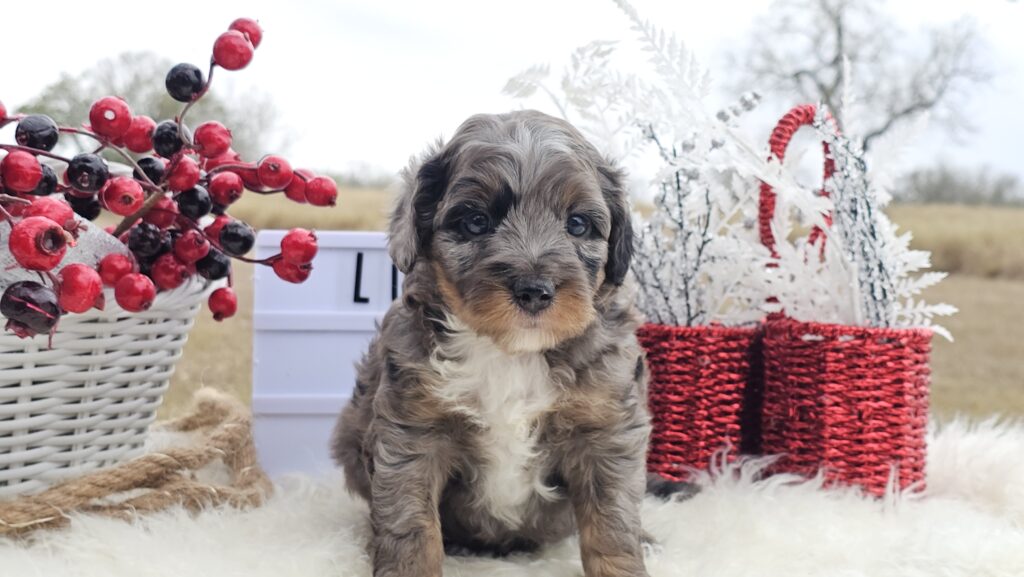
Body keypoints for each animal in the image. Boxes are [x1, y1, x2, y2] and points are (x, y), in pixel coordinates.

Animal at [327, 109, 663, 577]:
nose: (535, 290)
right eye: (475, 221)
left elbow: (611, 523)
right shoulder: (412, 433)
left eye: (578, 224)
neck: (511, 352)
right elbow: (409, 523)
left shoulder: (606, 429)